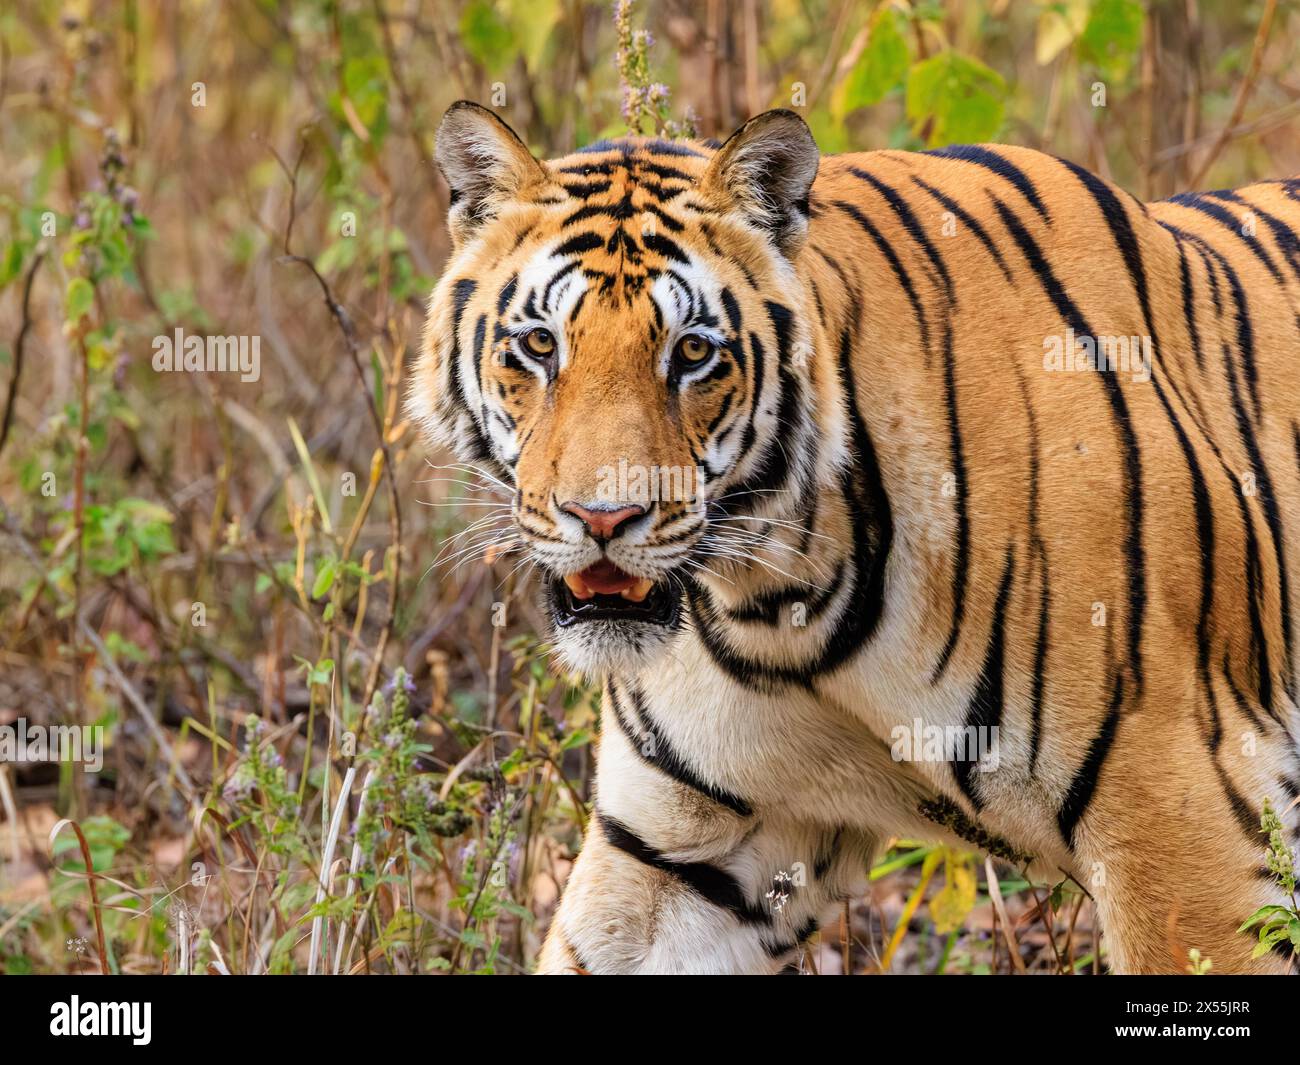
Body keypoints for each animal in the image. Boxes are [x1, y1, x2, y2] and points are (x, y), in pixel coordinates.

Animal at [413, 100, 1300, 972]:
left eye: (693, 353)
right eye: (539, 345)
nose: (602, 518)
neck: (780, 599)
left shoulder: (1180, 815)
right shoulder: (678, 848)